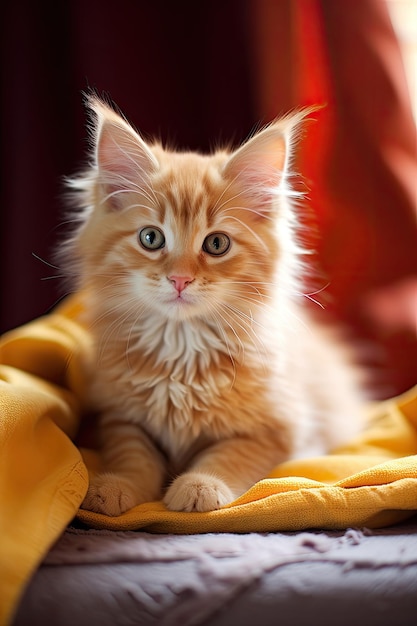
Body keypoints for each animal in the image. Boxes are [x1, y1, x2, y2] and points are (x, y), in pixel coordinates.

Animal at [63, 94, 362, 512]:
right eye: (151, 238)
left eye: (216, 244)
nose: (180, 279)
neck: (181, 350)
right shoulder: (119, 416)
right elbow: (133, 454)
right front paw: (116, 485)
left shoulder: (282, 431)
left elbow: (229, 454)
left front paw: (200, 485)